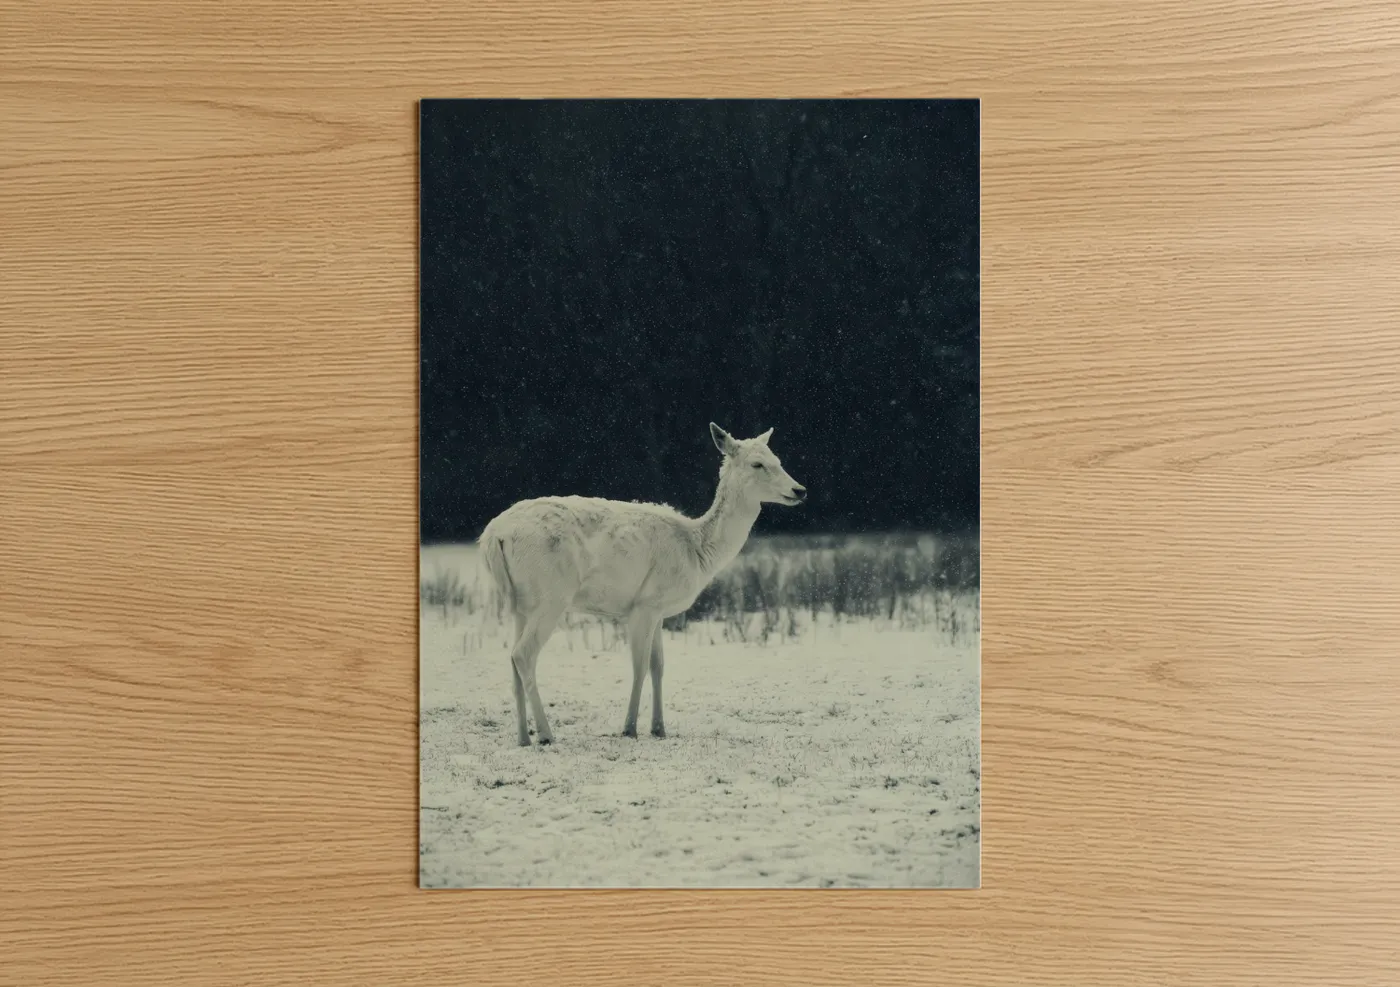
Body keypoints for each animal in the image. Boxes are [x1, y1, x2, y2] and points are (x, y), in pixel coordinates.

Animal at [480, 423, 807, 745]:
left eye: (778, 459)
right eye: (757, 464)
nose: (800, 490)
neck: (697, 551)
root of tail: (493, 536)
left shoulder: (658, 609)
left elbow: (658, 665)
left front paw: (659, 728)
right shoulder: (644, 604)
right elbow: (639, 666)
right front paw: (629, 728)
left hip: (523, 602)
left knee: (512, 657)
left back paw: (523, 737)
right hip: (552, 594)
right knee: (524, 654)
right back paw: (546, 734)